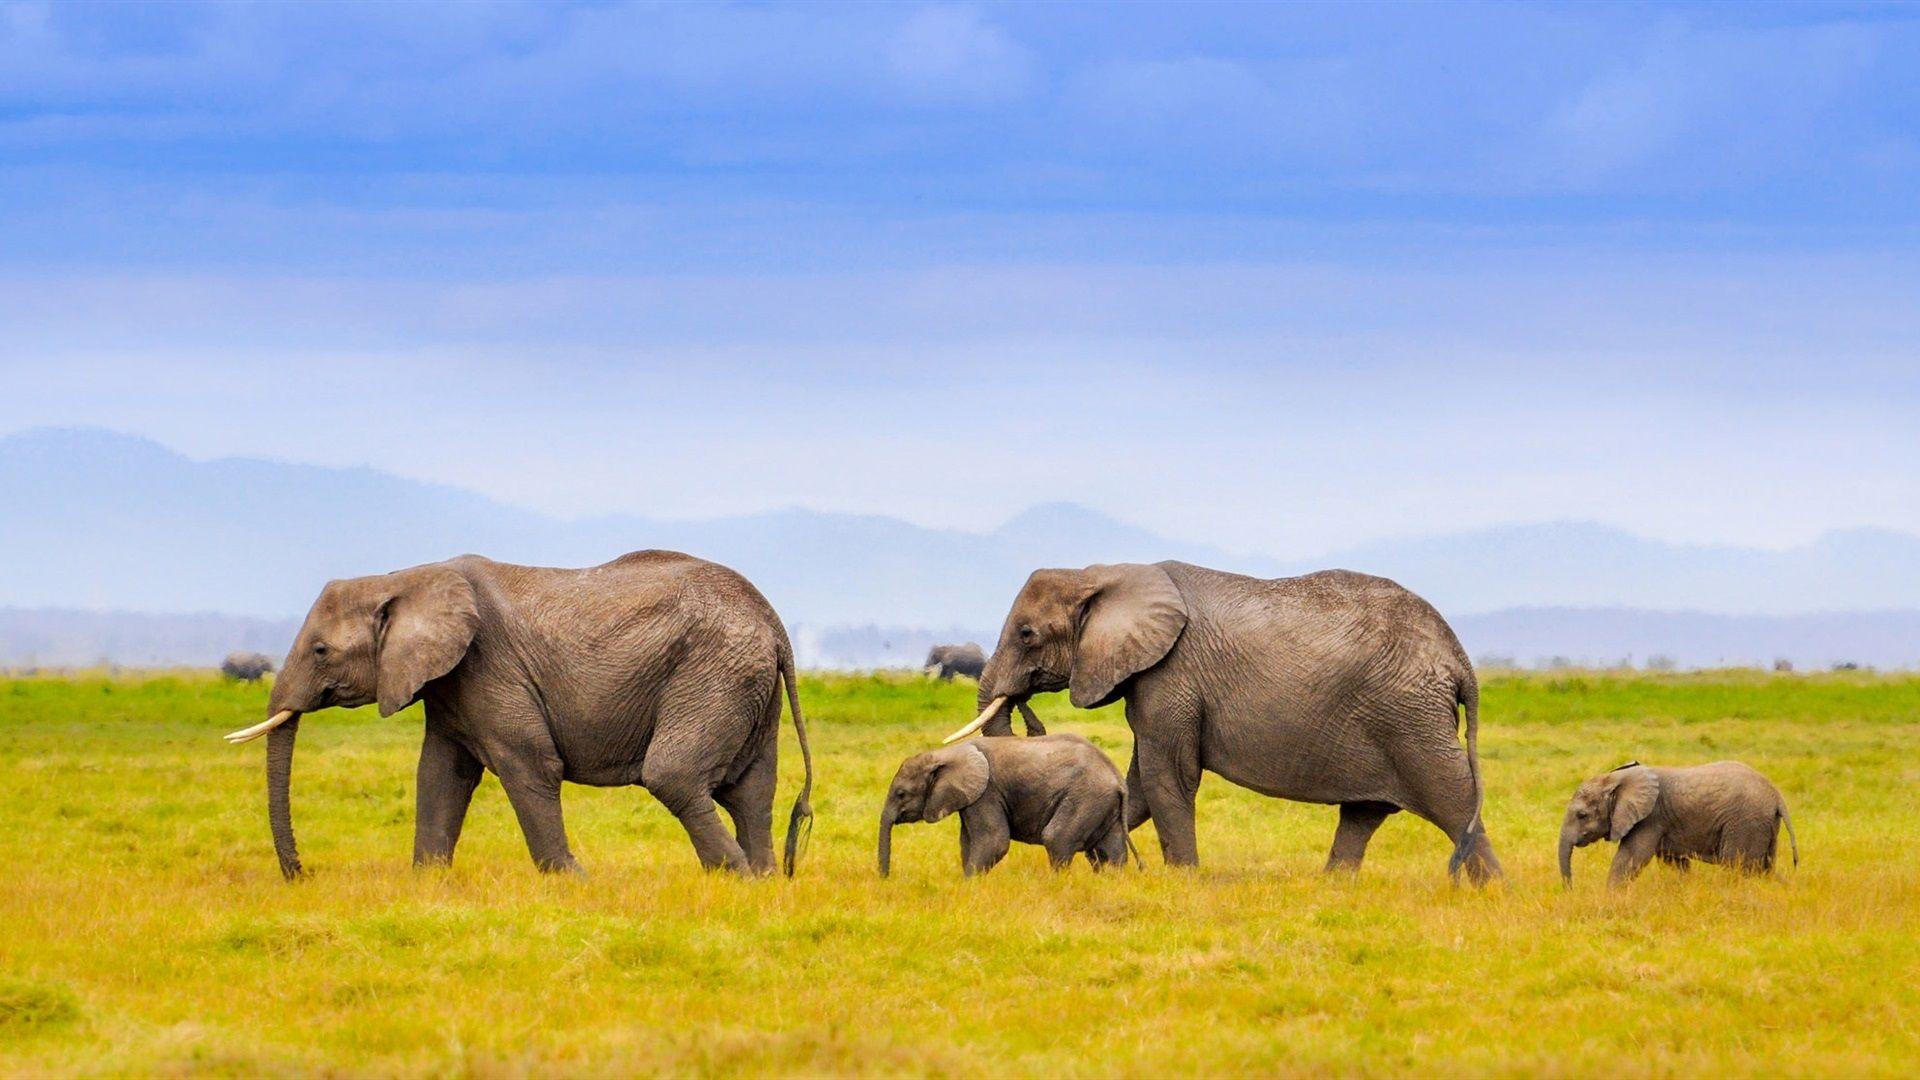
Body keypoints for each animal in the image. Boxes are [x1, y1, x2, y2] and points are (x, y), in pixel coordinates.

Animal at [223, 550, 814, 880]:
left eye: (321, 651)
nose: (301, 874)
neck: (405, 578)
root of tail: (774, 624)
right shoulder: (452, 684)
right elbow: (440, 775)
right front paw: (427, 883)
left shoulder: (490, 666)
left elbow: (528, 766)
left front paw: (573, 883)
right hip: (745, 685)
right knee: (750, 790)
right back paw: (762, 880)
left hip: (712, 672)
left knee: (675, 776)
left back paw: (735, 877)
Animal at [877, 734, 1135, 876]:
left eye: (901, 794)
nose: (886, 879)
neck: (945, 753)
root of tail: (1117, 779)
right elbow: (967, 843)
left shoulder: (987, 793)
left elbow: (994, 842)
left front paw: (968, 885)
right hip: (1101, 803)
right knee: (1111, 850)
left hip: (1085, 798)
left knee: (1057, 838)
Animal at [946, 562, 1501, 883]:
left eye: (1026, 633)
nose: (1028, 717)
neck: (1103, 573)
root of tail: (1459, 659)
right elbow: (1138, 785)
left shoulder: (1171, 675)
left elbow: (1165, 777)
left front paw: (1182, 882)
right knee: (1363, 814)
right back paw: (1333, 888)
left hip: (1410, 719)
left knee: (1452, 800)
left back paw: (1493, 892)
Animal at [1558, 761, 1798, 887]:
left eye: (1582, 815)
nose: (1571, 890)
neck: (1619, 778)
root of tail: (1777, 796)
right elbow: (1674, 863)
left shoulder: (1650, 819)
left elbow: (1630, 858)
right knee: (1764, 868)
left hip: (1745, 822)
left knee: (1739, 866)